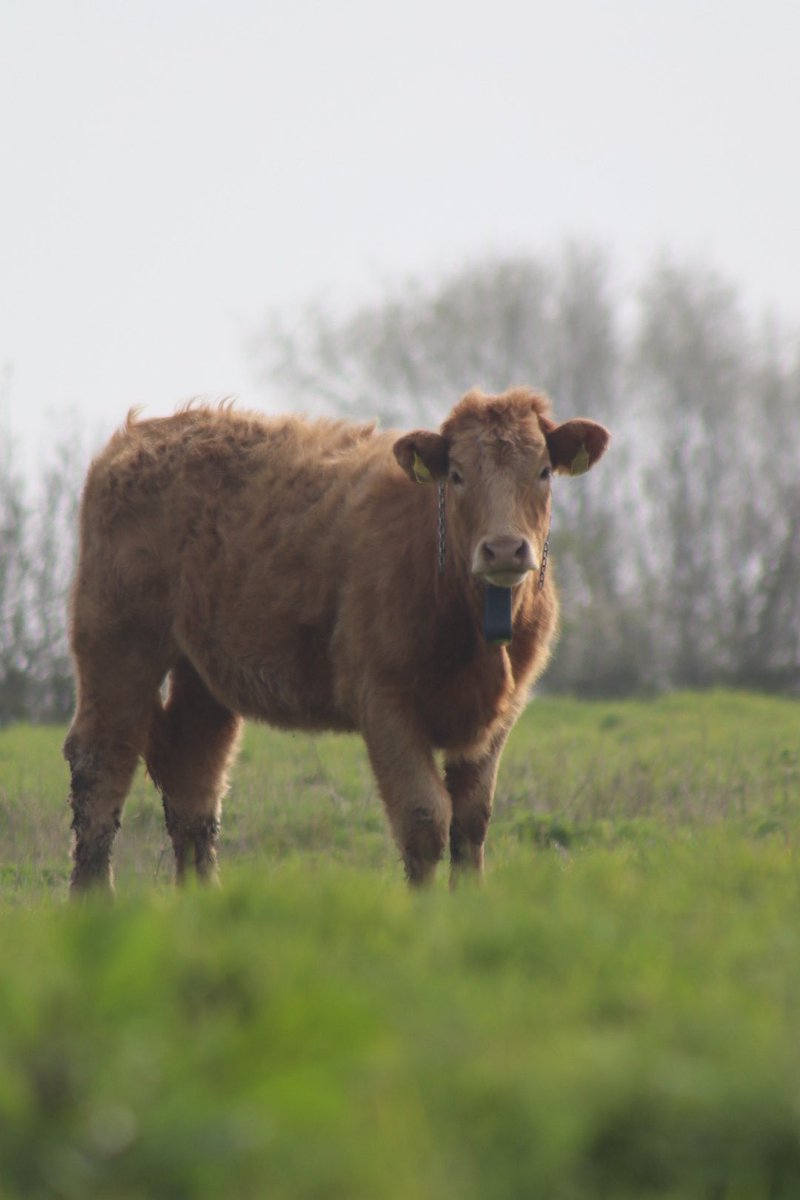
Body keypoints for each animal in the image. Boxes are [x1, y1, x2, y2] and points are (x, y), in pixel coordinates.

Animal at [64, 387, 610, 892]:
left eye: (543, 471)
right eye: (456, 474)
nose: (504, 549)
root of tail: (140, 434)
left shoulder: (500, 715)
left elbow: (472, 821)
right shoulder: (384, 701)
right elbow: (424, 818)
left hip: (202, 675)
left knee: (194, 774)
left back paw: (201, 900)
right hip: (115, 645)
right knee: (101, 763)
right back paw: (94, 901)